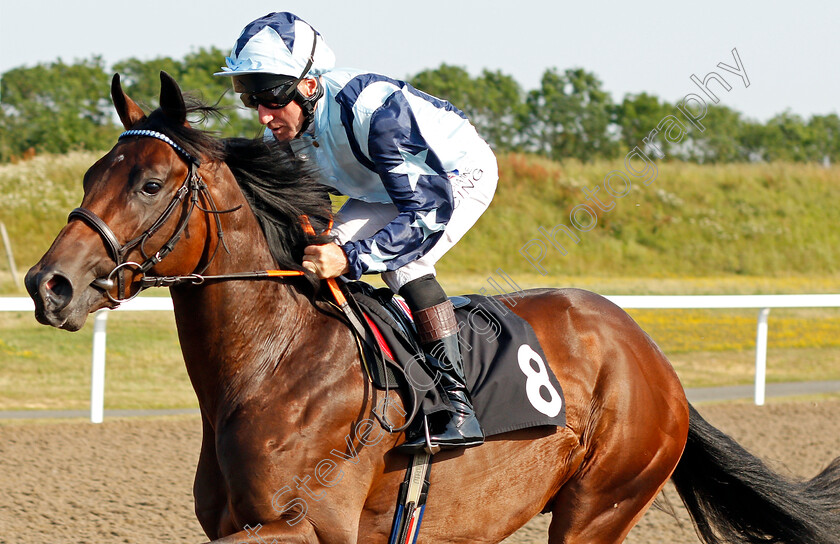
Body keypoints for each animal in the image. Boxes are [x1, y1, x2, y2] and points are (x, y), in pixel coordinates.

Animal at [26, 73, 840, 544]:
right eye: (94, 172)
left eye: (150, 184)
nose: (48, 284)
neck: (273, 365)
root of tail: (650, 354)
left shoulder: (306, 524)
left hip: (602, 503)